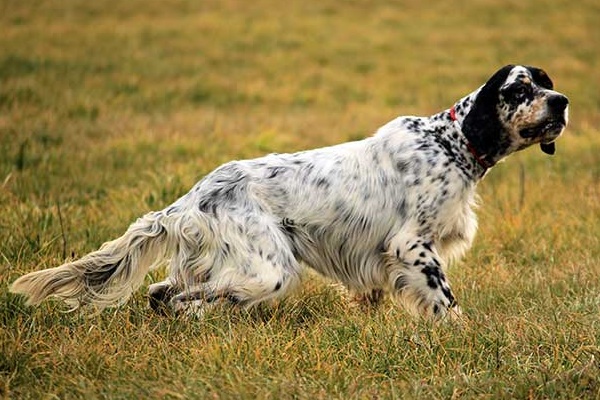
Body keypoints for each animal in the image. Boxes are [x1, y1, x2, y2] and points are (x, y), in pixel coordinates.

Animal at [10, 65, 572, 320]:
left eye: (546, 82)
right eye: (519, 89)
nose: (563, 101)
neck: (450, 142)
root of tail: (190, 199)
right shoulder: (411, 246)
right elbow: (445, 302)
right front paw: (460, 332)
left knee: (162, 292)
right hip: (269, 269)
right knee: (189, 297)